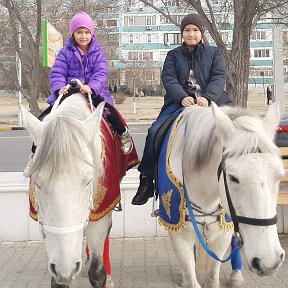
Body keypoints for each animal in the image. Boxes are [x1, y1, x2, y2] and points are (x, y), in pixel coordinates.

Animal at [20, 93, 111, 286]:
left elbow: (97, 274)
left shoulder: (101, 211)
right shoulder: (45, 226)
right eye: (37, 183)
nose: (66, 268)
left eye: (88, 181)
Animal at [161, 103, 284, 288]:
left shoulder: (222, 236)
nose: (268, 262)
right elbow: (190, 275)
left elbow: (213, 276)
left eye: (279, 175)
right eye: (233, 177)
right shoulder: (179, 237)